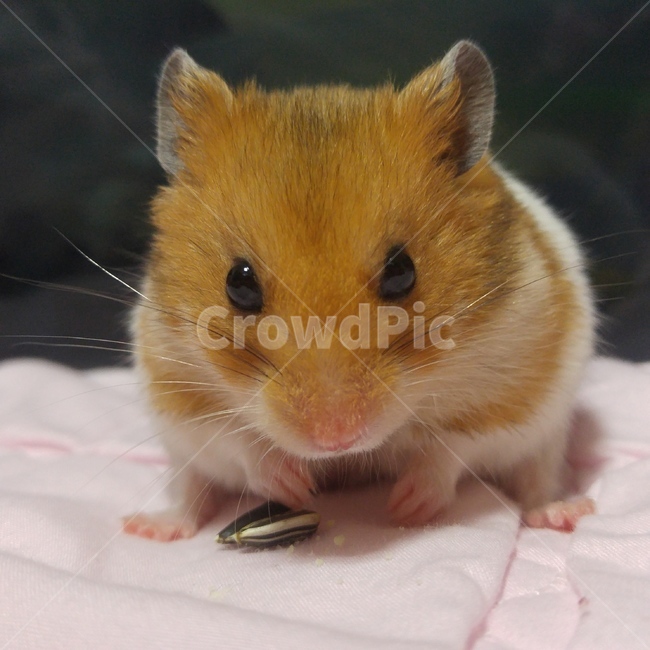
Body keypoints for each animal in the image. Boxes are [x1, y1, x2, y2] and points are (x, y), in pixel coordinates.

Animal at [123, 41, 595, 541]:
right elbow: (240, 442)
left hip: (548, 436)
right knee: (191, 494)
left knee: (538, 481)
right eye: (238, 283)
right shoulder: (179, 399)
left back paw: (561, 514)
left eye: (402, 272)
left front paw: (405, 507)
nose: (335, 440)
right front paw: (298, 488)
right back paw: (149, 527)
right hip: (180, 457)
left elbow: (449, 449)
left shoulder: (513, 395)